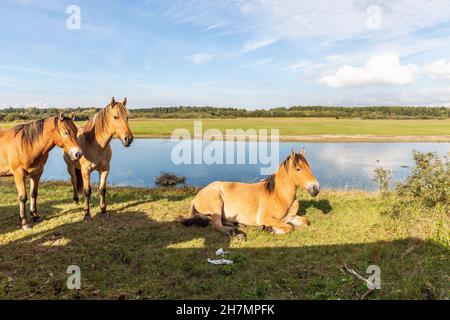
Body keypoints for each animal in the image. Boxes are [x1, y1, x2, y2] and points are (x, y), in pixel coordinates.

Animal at [179, 148, 320, 238]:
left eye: (309, 167)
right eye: (298, 169)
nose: (316, 188)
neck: (279, 196)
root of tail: (197, 196)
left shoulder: (290, 218)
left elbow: (305, 222)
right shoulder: (267, 218)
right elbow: (289, 228)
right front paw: (271, 229)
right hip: (217, 203)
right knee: (216, 225)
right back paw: (235, 232)